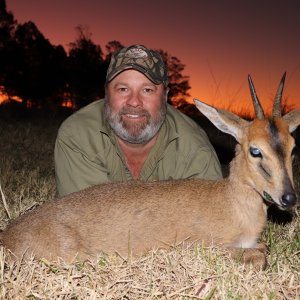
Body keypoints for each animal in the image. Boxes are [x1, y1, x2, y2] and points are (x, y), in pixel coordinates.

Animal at [0, 73, 298, 268]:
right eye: (255, 150)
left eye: (293, 147)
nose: (289, 198)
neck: (231, 201)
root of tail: (7, 237)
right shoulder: (203, 246)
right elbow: (260, 255)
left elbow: (262, 247)